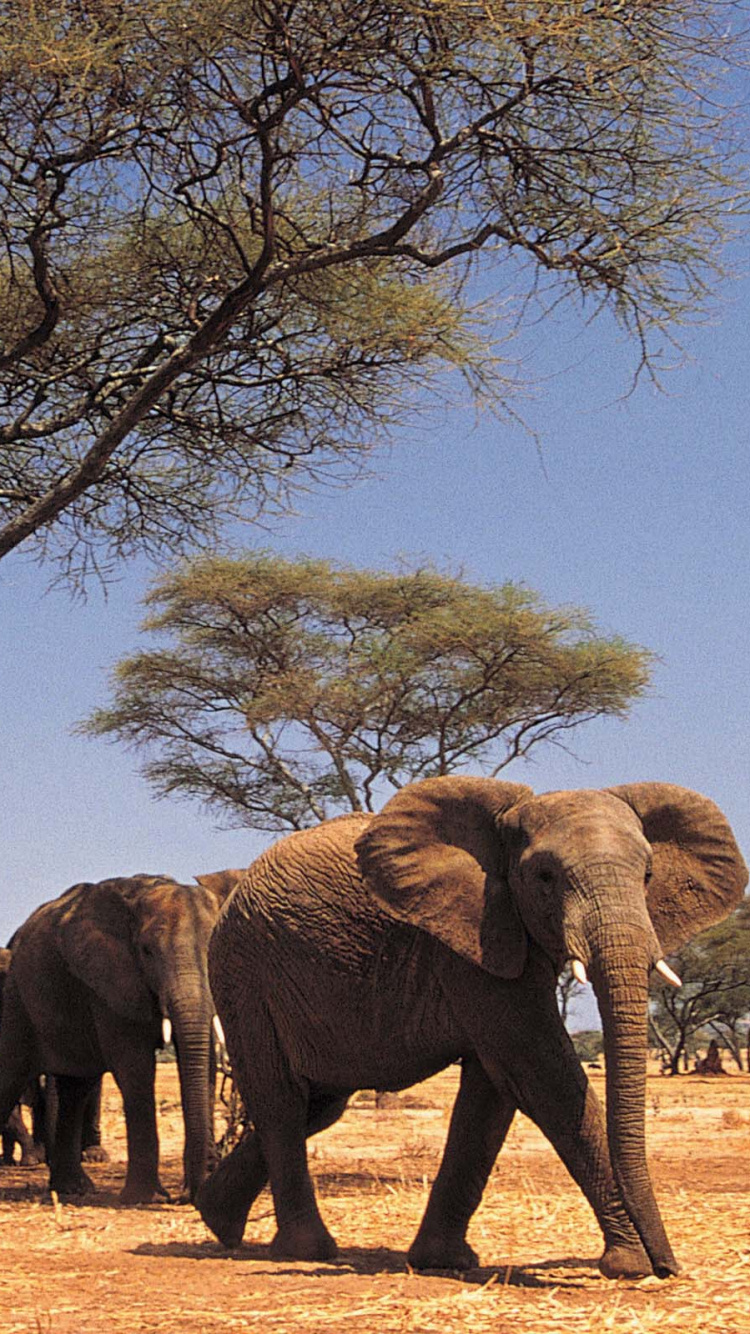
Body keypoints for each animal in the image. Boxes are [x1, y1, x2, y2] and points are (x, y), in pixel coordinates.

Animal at [0, 869, 243, 1203]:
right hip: (17, 998)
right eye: (147, 951)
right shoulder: (109, 980)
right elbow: (135, 1068)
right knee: (11, 1072)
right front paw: (146, 1198)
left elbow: (201, 1064)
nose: (185, 1197)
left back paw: (73, 1189)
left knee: (76, 1087)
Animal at [195, 778, 747, 1279]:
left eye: (649, 874)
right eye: (544, 877)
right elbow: (539, 1072)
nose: (672, 1268)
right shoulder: (472, 939)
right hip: (244, 973)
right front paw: (630, 1265)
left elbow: (491, 1094)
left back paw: (217, 1219)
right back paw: (306, 1251)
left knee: (321, 1103)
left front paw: (442, 1262)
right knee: (282, 1101)